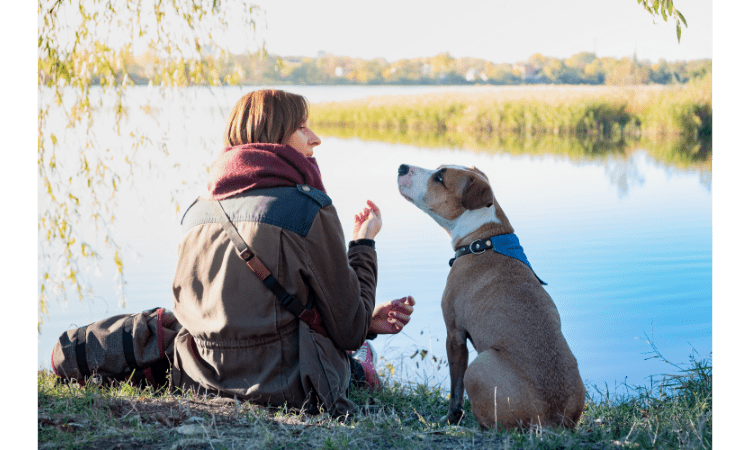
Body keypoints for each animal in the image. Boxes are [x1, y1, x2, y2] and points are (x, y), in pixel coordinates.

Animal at [400, 164, 588, 428]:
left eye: (439, 178)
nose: (402, 167)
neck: (482, 240)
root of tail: (553, 419)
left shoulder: (455, 334)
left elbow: (455, 389)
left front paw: (451, 419)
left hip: (479, 364)